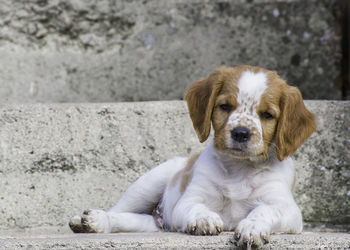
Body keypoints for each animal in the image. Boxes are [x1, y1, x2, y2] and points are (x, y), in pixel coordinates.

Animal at [69, 65, 318, 248]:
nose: (240, 133)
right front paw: (205, 219)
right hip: (148, 185)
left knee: (137, 220)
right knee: (118, 211)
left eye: (267, 115)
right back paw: (92, 220)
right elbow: (197, 207)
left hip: (157, 221)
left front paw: (252, 227)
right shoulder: (188, 200)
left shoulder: (287, 209)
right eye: (225, 106)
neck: (239, 168)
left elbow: (264, 209)